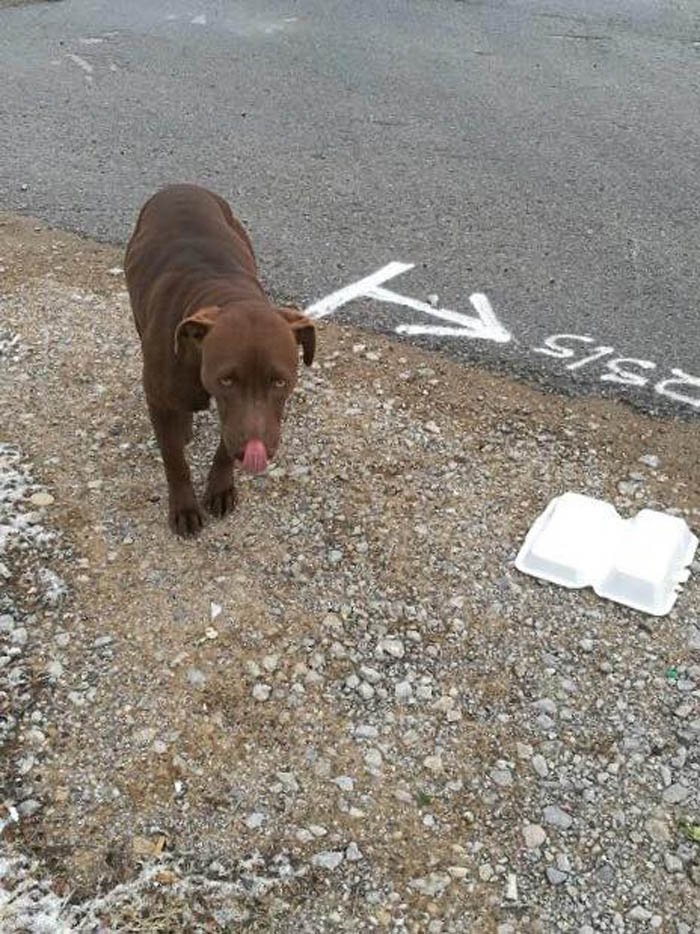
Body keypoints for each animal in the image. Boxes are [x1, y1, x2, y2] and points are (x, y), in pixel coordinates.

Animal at [124, 185, 316, 532]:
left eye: (280, 382)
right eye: (225, 380)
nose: (255, 449)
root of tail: (181, 186)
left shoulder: (238, 418)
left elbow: (226, 444)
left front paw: (221, 487)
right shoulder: (159, 401)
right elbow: (174, 461)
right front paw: (184, 507)